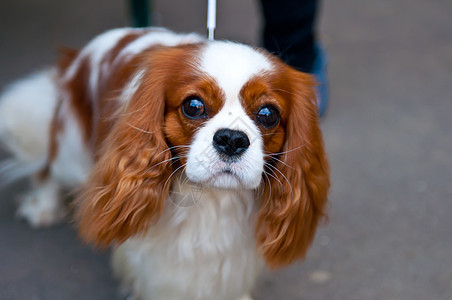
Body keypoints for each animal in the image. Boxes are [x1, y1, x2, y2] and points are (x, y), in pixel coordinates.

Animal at [0, 27, 332, 298]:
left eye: (267, 114)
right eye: (193, 106)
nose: (232, 139)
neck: (211, 199)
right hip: (69, 146)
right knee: (49, 167)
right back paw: (43, 206)